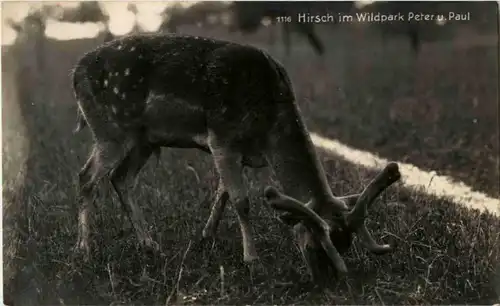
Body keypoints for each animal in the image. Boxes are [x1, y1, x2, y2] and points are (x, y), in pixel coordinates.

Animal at [72, 33, 402, 282]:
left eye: (346, 244)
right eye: (317, 239)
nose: (328, 278)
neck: (268, 128)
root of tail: (75, 73)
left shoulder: (238, 153)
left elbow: (223, 193)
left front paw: (206, 236)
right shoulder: (222, 138)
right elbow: (241, 201)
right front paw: (252, 259)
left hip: (144, 139)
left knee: (120, 178)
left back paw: (150, 244)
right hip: (111, 130)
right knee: (86, 176)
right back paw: (84, 250)